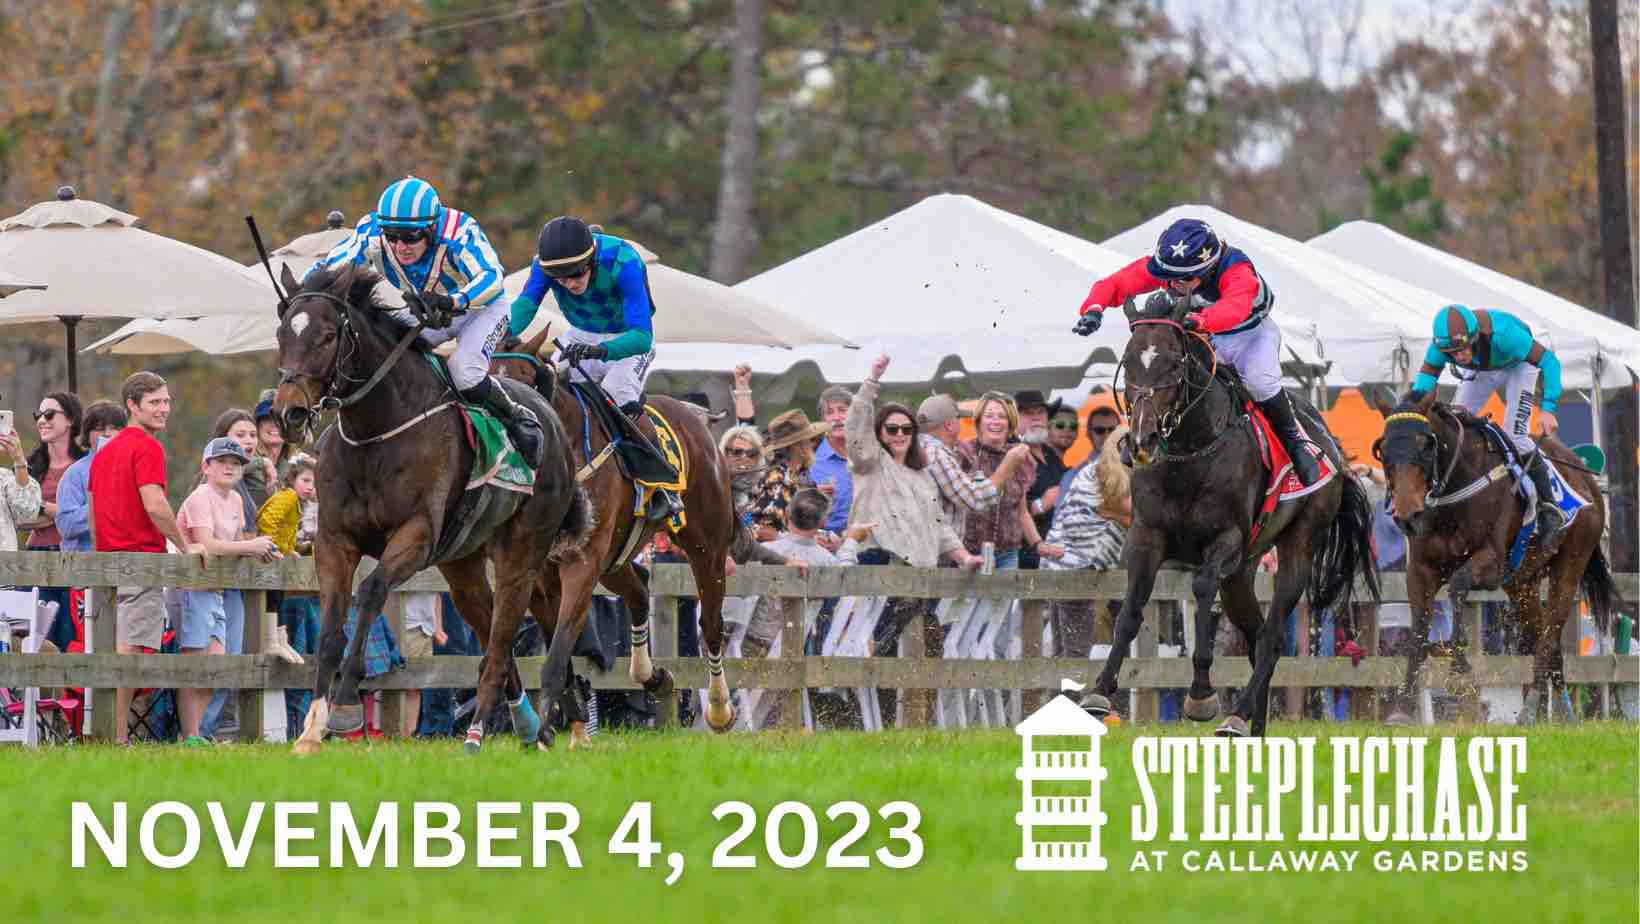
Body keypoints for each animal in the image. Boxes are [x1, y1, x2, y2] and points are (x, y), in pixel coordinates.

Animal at [275, 264, 590, 754]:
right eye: (281, 332)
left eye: (327, 336)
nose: (288, 412)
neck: (377, 433)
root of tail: (552, 420)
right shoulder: (333, 541)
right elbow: (329, 631)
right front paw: (312, 729)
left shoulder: (418, 535)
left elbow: (371, 592)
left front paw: (345, 703)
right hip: (462, 567)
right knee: (494, 637)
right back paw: (526, 725)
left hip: (522, 557)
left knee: (502, 643)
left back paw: (481, 733)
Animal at [492, 324, 738, 745]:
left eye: (525, 381)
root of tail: (698, 420)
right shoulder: (542, 571)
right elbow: (561, 653)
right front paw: (567, 729)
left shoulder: (582, 561)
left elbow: (556, 656)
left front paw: (544, 733)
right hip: (616, 557)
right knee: (639, 591)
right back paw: (652, 676)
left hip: (707, 545)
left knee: (711, 624)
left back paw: (720, 710)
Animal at [1082, 297, 1377, 738]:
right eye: (1129, 361)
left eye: (1173, 363)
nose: (1142, 440)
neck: (1190, 451)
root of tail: (1332, 446)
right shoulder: (1146, 537)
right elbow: (1132, 609)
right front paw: (1099, 691)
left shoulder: (1227, 539)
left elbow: (1203, 588)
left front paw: (1201, 695)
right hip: (1243, 572)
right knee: (1256, 636)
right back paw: (1253, 728)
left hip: (1298, 544)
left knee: (1270, 638)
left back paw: (1236, 716)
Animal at [1371, 392, 1613, 722]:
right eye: (1383, 449)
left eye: (1425, 444)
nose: (1408, 516)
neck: (1456, 488)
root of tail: (1587, 480)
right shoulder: (1420, 570)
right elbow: (1419, 631)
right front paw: (1404, 707)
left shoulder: (1492, 564)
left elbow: (1458, 586)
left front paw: (1459, 662)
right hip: (1522, 582)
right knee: (1543, 638)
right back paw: (1550, 713)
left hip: (1570, 564)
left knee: (1549, 636)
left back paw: (1532, 707)